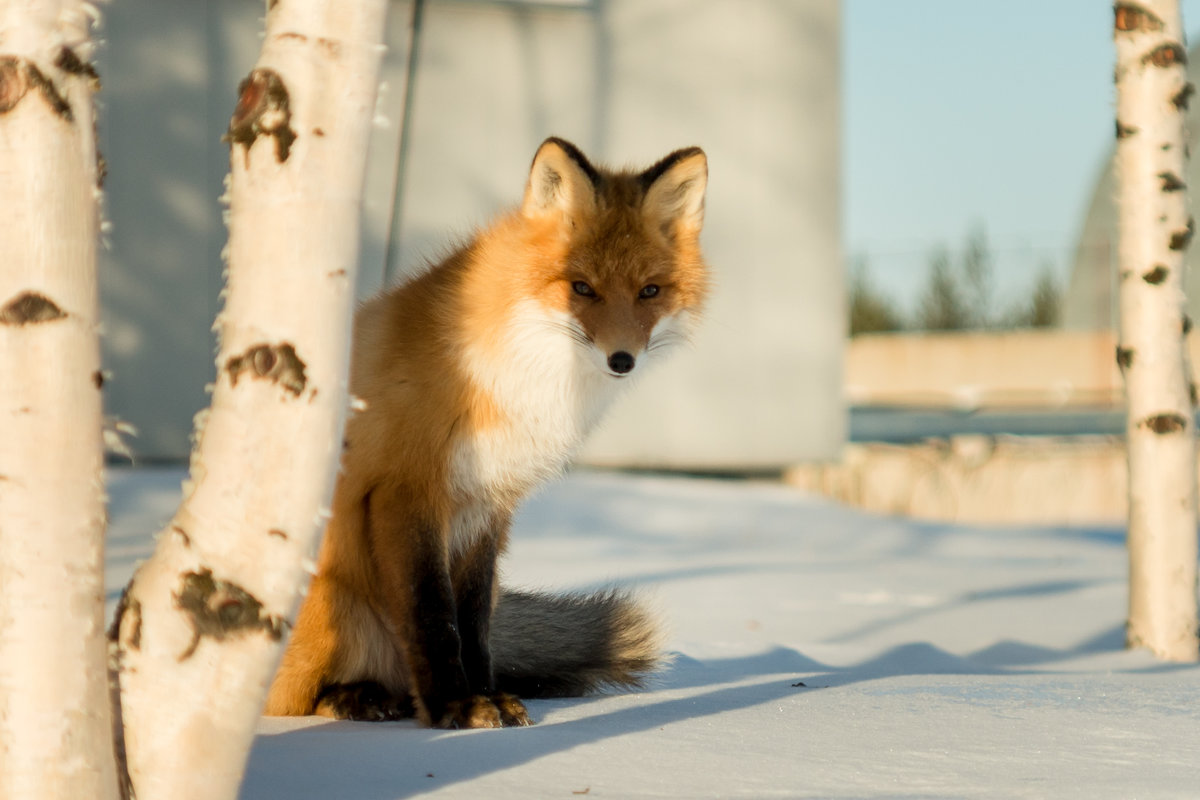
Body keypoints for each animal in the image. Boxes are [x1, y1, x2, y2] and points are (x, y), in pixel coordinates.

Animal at [265, 139, 700, 734]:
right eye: (581, 288)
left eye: (649, 292)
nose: (621, 360)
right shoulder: (406, 489)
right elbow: (432, 614)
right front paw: (455, 706)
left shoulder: (488, 506)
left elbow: (470, 623)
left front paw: (486, 697)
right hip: (328, 603)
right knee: (288, 700)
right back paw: (356, 698)